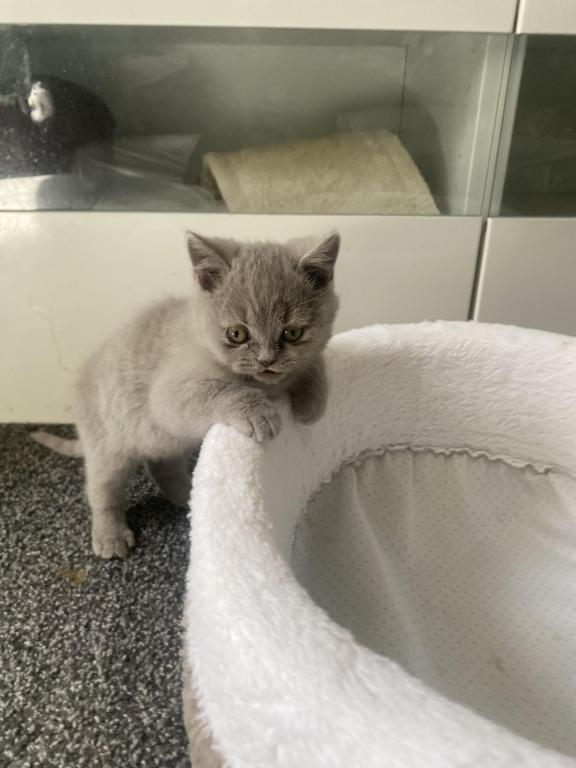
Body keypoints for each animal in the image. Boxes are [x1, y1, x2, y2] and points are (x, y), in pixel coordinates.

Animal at [32, 231, 340, 559]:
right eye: (237, 334)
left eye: (292, 333)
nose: (266, 360)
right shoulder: (168, 394)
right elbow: (223, 390)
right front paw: (258, 412)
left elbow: (311, 364)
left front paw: (312, 403)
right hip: (108, 447)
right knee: (102, 490)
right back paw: (110, 535)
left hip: (165, 441)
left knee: (160, 463)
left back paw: (187, 498)